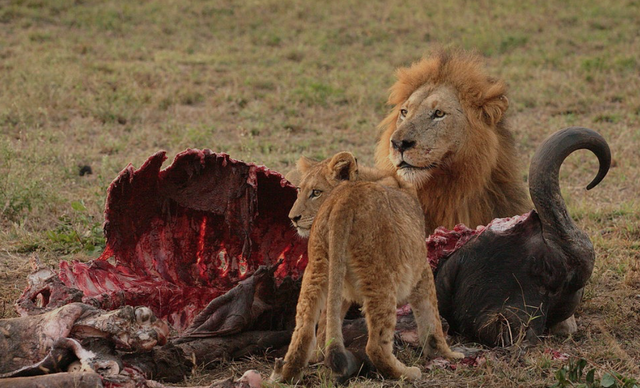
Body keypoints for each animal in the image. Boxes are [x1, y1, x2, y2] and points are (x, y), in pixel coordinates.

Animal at [270, 151, 460, 382]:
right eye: (300, 190)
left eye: (315, 192)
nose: (293, 218)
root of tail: (344, 199)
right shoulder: (421, 267)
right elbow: (431, 317)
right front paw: (446, 353)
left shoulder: (340, 285)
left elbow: (327, 323)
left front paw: (320, 355)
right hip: (381, 276)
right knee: (376, 346)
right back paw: (406, 372)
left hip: (317, 268)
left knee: (304, 330)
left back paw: (289, 374)